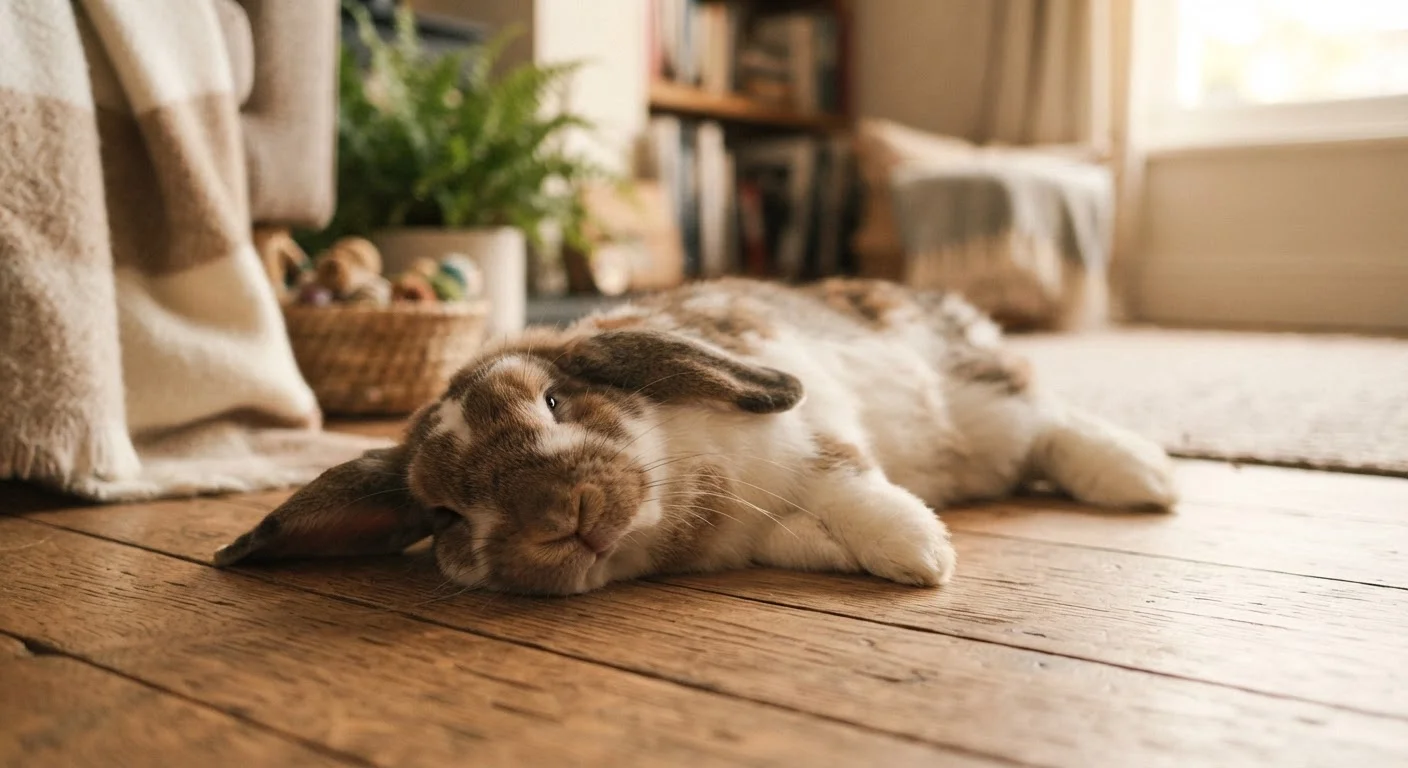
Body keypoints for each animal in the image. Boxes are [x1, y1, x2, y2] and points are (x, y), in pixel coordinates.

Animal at [215, 278, 1177, 595]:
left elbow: (851, 483)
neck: (679, 519)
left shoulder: (813, 434)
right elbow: (806, 532)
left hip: (978, 401)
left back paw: (1146, 477)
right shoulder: (762, 531)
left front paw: (920, 555)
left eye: (555, 401)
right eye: (447, 516)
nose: (559, 517)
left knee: (1051, 423)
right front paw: (889, 552)